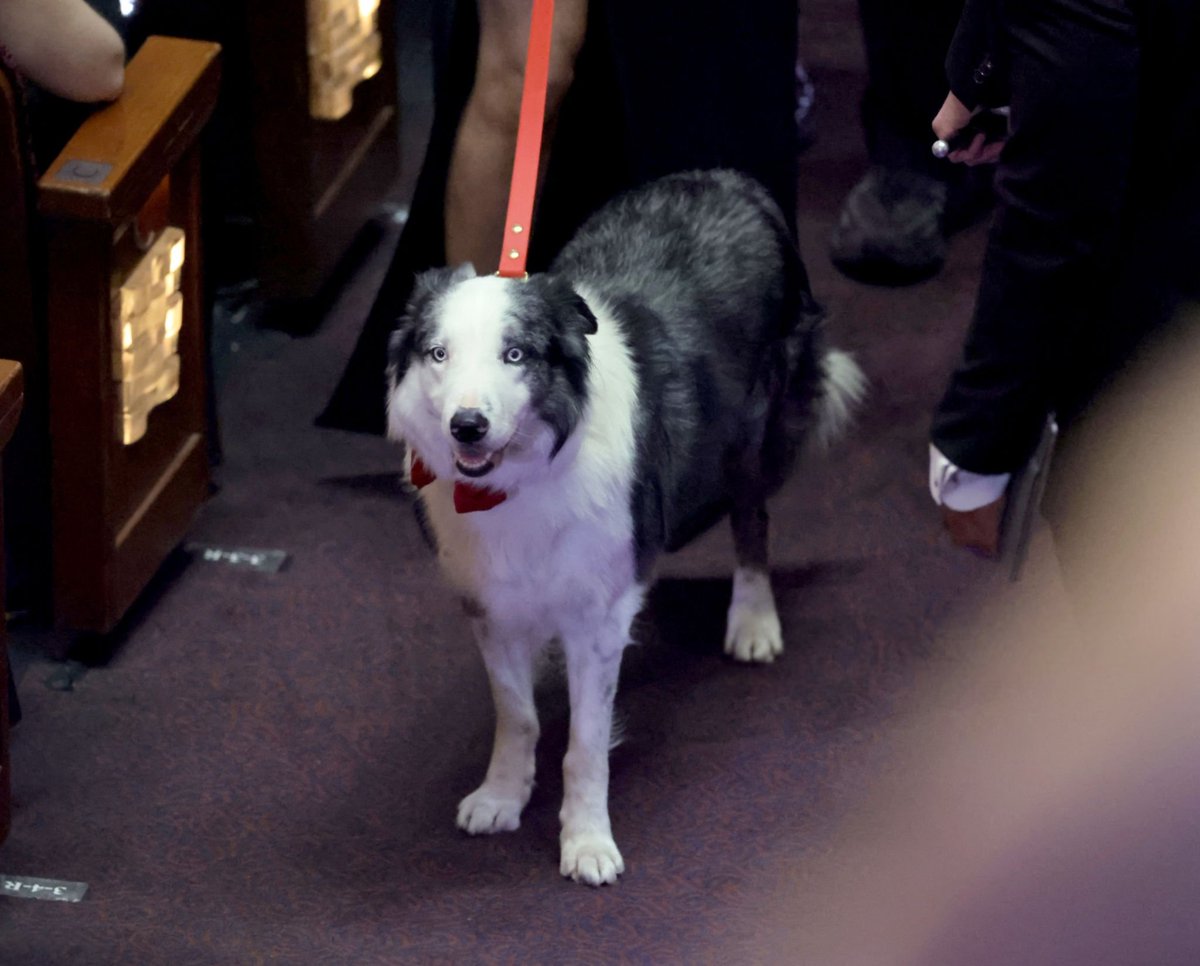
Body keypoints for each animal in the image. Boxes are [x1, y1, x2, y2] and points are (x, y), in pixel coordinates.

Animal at [388, 168, 868, 883]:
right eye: (439, 354)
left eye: (515, 354)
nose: (466, 426)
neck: (520, 481)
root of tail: (729, 179)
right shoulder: (492, 606)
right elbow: (517, 716)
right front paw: (502, 797)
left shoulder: (597, 617)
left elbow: (585, 745)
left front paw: (587, 842)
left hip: (749, 433)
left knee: (752, 521)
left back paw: (753, 621)